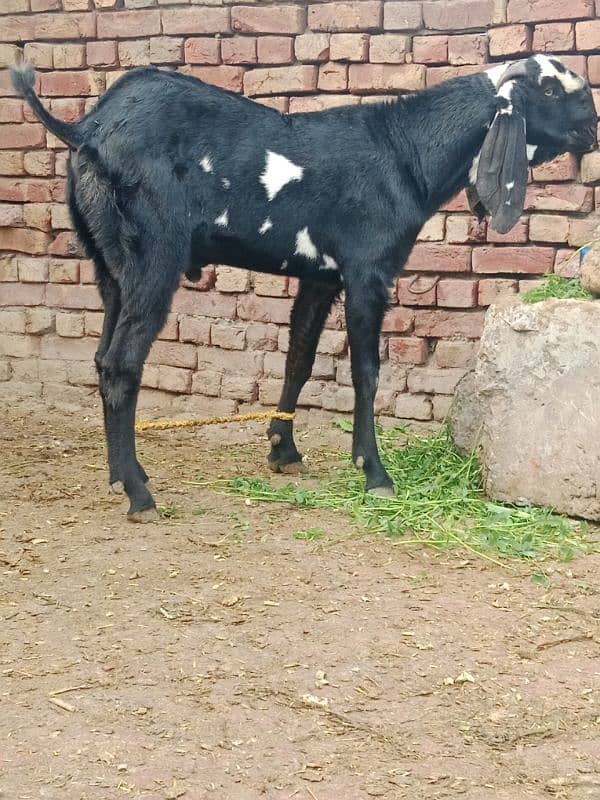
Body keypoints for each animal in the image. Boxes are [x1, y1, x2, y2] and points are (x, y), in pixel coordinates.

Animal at [11, 54, 596, 520]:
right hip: (151, 256)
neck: (404, 153)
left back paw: (120, 475)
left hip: (110, 265)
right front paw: (374, 472)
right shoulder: (367, 271)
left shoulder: (319, 277)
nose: (592, 126)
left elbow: (299, 358)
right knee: (121, 363)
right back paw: (138, 494)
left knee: (102, 356)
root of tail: (88, 129)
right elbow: (366, 372)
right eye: (548, 89)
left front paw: (282, 450)